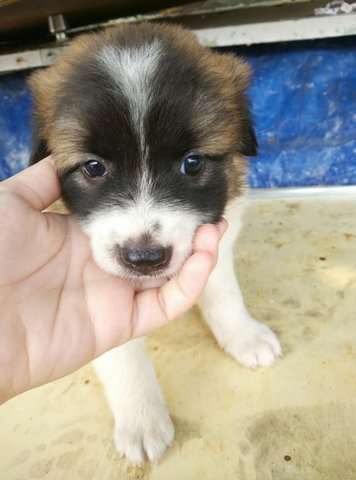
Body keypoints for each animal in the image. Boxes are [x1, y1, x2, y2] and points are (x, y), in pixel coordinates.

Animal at [29, 23, 282, 464]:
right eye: (93, 167)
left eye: (192, 163)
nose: (144, 258)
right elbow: (121, 355)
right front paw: (142, 422)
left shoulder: (217, 243)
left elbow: (225, 296)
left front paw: (245, 337)